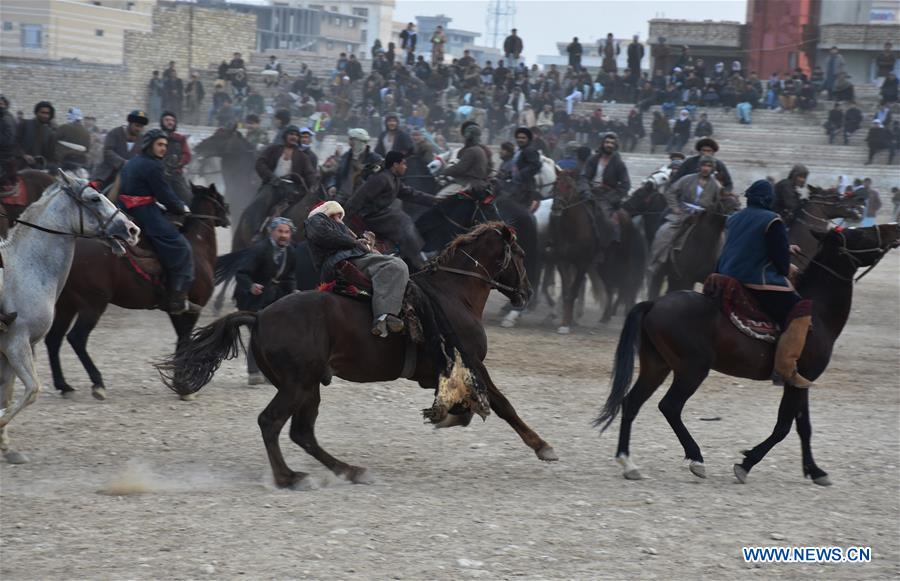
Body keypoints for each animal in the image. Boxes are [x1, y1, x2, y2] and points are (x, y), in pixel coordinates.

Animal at [0, 172, 141, 462]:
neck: (25, 270)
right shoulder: (17, 344)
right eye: (94, 198)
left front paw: (6, 447)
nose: (133, 230)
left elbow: (6, 395)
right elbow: (32, 390)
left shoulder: (8, 351)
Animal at [44, 182, 230, 398]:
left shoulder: (176, 310)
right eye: (221, 199)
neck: (198, 247)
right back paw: (97, 383)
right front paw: (184, 386)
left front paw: (178, 381)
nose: (227, 218)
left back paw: (63, 385)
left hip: (67, 306)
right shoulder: (193, 309)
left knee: (53, 339)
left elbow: (180, 342)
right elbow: (185, 342)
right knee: (77, 338)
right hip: (93, 305)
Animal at [158, 223, 560, 490]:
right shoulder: (473, 364)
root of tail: (260, 316)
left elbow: (472, 408)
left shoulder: (443, 374)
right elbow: (503, 404)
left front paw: (449, 417)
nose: (525, 293)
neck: (453, 294)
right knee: (271, 423)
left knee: (302, 432)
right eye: (520, 255)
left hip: (308, 387)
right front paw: (543, 447)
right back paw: (289, 477)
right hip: (296, 385)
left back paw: (349, 470)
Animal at [596, 223, 896, 484]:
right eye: (860, 234)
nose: (894, 229)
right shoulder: (799, 378)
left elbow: (803, 427)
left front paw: (814, 470)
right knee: (669, 406)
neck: (818, 312)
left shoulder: (801, 379)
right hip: (692, 369)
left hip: (657, 366)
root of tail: (654, 303)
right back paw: (696, 459)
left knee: (631, 403)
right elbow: (784, 426)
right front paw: (747, 463)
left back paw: (628, 463)